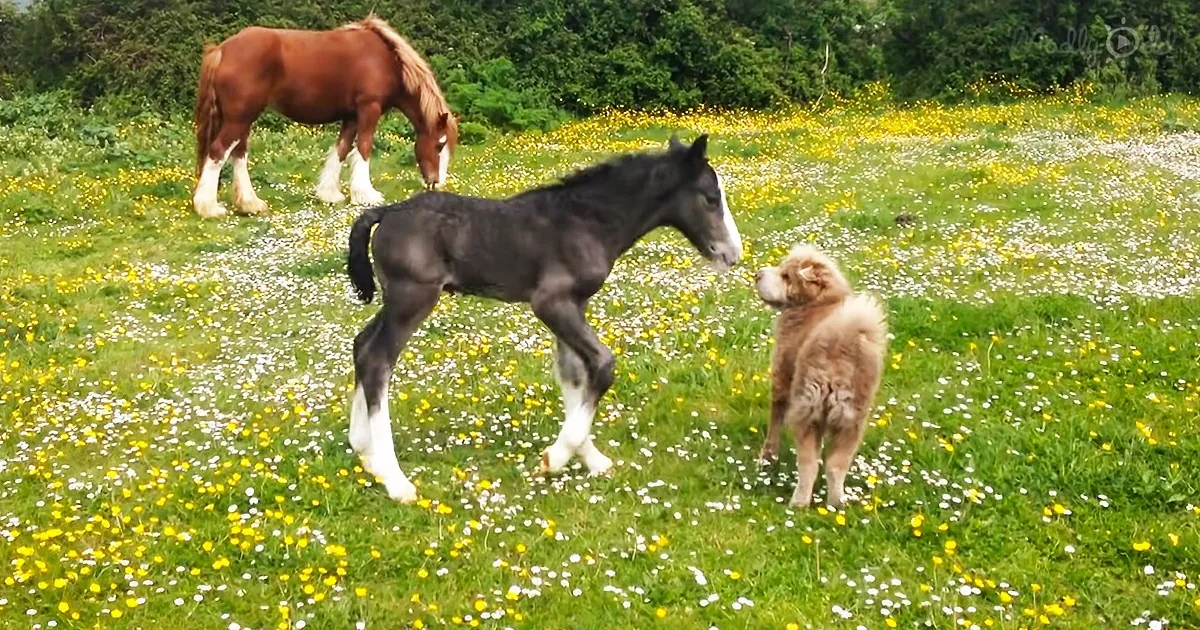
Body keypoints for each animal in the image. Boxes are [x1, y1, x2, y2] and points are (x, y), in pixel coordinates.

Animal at [192, 15, 459, 218]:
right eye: (439, 145)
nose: (437, 182)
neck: (387, 60)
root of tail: (221, 50)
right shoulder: (368, 109)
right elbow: (364, 148)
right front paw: (366, 194)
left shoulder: (351, 116)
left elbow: (341, 150)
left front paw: (330, 193)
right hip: (239, 118)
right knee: (218, 151)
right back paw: (209, 207)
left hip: (243, 119)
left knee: (238, 154)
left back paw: (249, 204)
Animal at [343, 135, 743, 502]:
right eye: (711, 197)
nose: (733, 253)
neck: (589, 222)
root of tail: (388, 212)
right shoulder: (551, 303)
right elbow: (602, 364)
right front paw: (558, 456)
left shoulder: (574, 305)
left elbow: (573, 374)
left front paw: (589, 458)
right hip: (413, 297)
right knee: (378, 360)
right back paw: (396, 480)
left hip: (397, 301)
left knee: (362, 346)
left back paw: (365, 451)